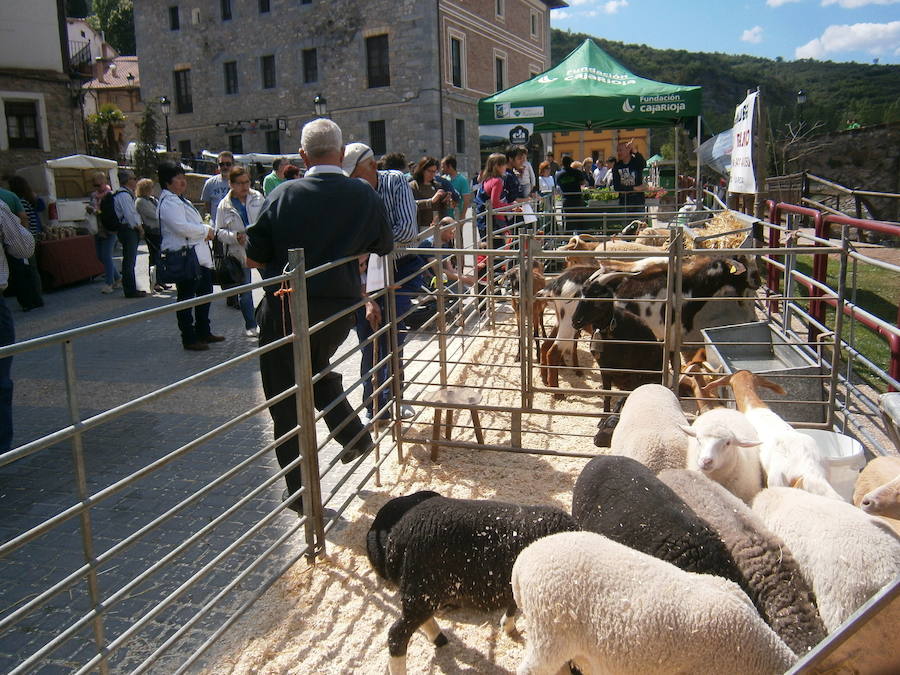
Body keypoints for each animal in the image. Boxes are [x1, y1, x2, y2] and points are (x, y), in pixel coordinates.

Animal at [366, 492, 576, 675]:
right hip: (421, 587)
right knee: (397, 635)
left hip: (421, 591)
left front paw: (507, 626)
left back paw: (439, 638)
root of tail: (396, 538)